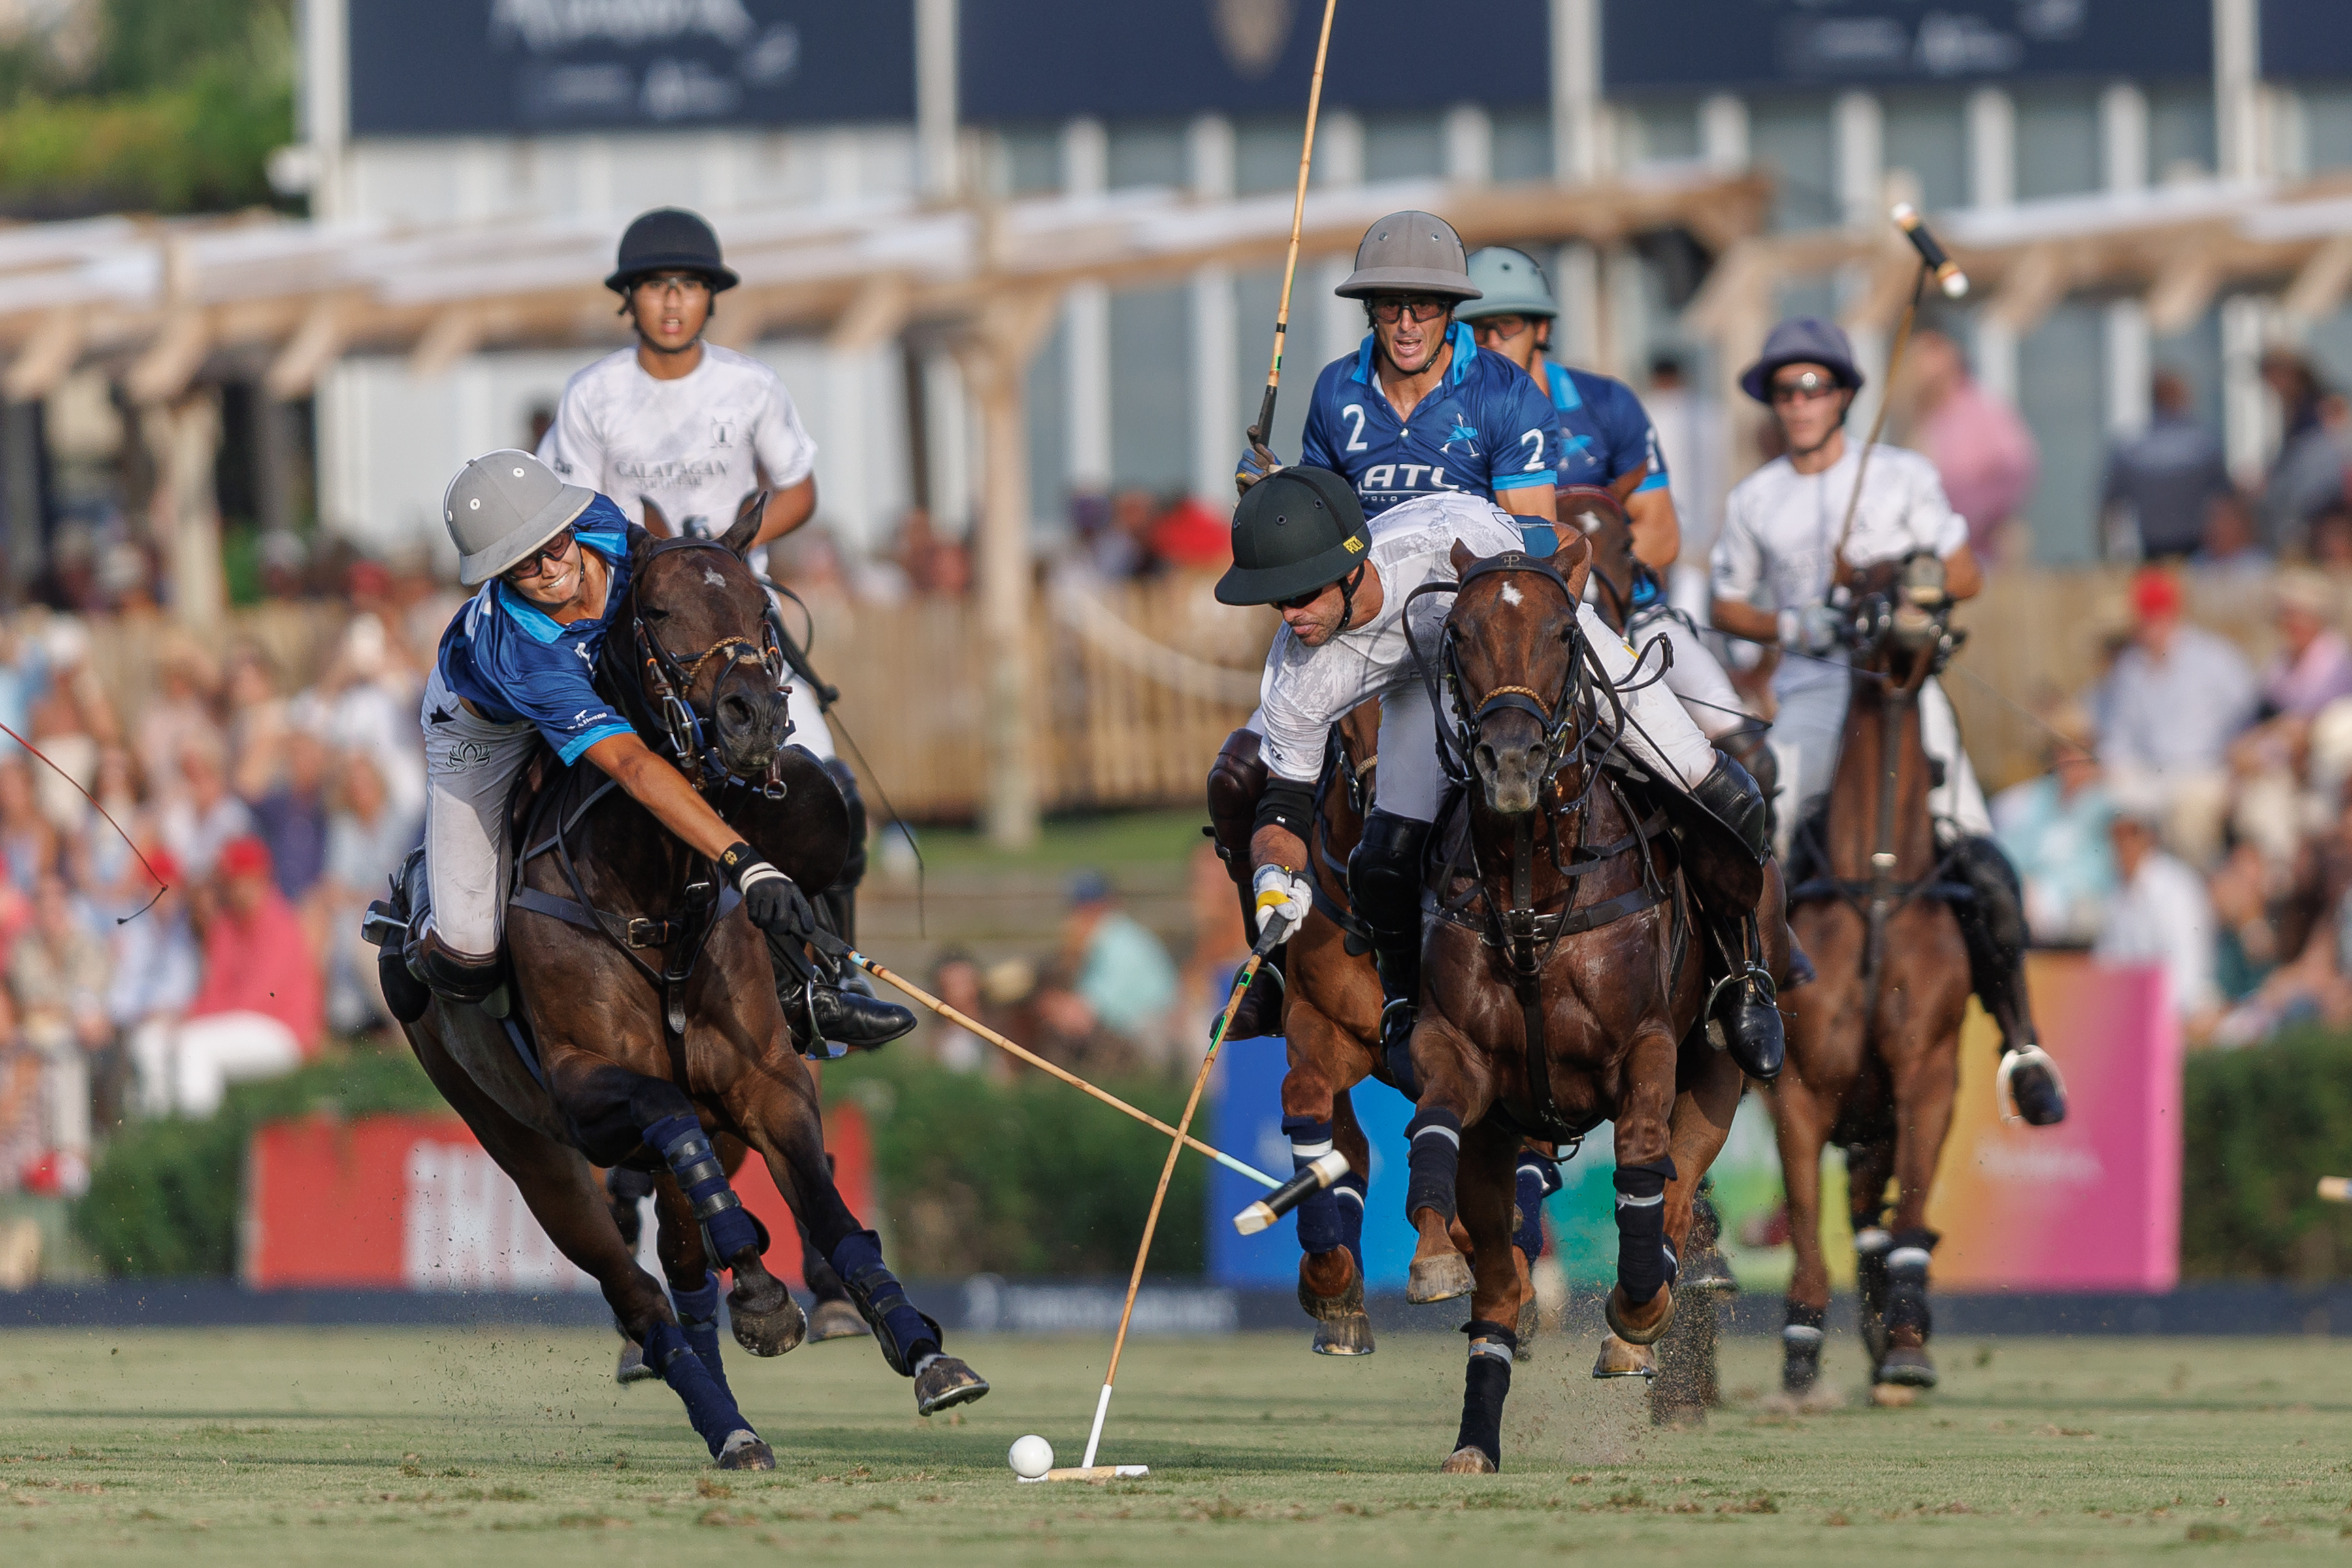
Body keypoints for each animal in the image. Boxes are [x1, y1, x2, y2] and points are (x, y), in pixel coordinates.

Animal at [383, 505, 983, 1476]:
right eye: (659, 613)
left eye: (760, 609)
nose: (754, 716)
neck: (657, 895)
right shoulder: (587, 1091)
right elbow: (668, 1128)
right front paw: (768, 1296)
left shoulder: (765, 1079)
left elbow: (830, 1211)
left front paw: (924, 1350)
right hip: (525, 1150)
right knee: (641, 1289)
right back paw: (727, 1419)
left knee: (683, 1254)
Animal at [1392, 536, 1769, 1476]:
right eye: (1459, 634)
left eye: (1566, 633)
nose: (1513, 764)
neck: (1534, 885)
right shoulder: (1460, 1055)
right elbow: (1436, 1121)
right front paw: (1432, 1259)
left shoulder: (1647, 1051)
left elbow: (1641, 1166)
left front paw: (1637, 1312)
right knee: (1498, 1281)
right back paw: (1477, 1433)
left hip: (1718, 1071)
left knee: (1677, 1191)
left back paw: (1641, 1324)